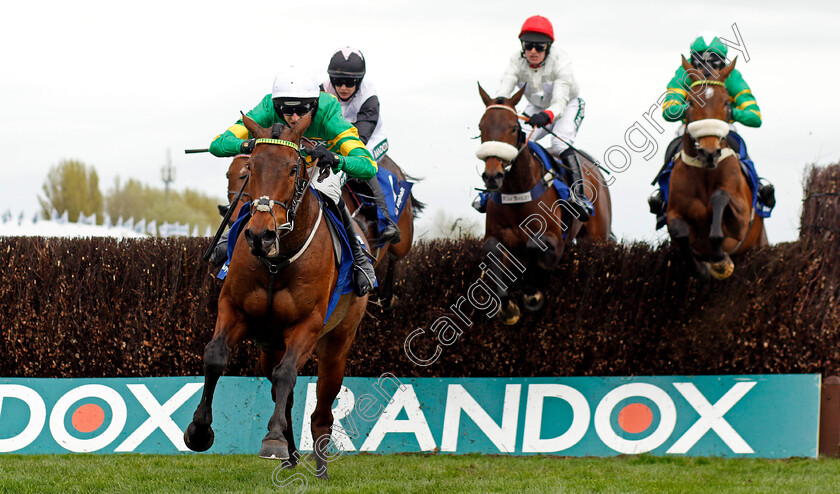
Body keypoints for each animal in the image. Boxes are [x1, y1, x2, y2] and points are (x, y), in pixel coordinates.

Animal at [184, 111, 368, 478]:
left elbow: (288, 374)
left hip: (338, 342)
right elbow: (215, 356)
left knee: (321, 405)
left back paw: (320, 466)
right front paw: (199, 431)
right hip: (269, 345)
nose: (260, 235)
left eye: (294, 168)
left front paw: (271, 440)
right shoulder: (234, 309)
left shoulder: (308, 324)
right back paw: (290, 453)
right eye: (251, 166)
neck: (276, 260)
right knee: (283, 390)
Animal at [480, 84, 612, 324]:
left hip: (597, 236)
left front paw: (532, 295)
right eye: (481, 127)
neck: (517, 192)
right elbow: (493, 250)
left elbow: (537, 247)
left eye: (513, 128)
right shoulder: (495, 235)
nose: (492, 176)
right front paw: (508, 308)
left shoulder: (555, 240)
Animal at [664, 56, 768, 280]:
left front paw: (721, 262)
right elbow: (679, 232)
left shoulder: (742, 219)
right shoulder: (673, 213)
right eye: (691, 102)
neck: (704, 172)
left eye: (726, 102)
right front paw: (702, 268)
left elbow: (720, 197)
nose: (709, 152)